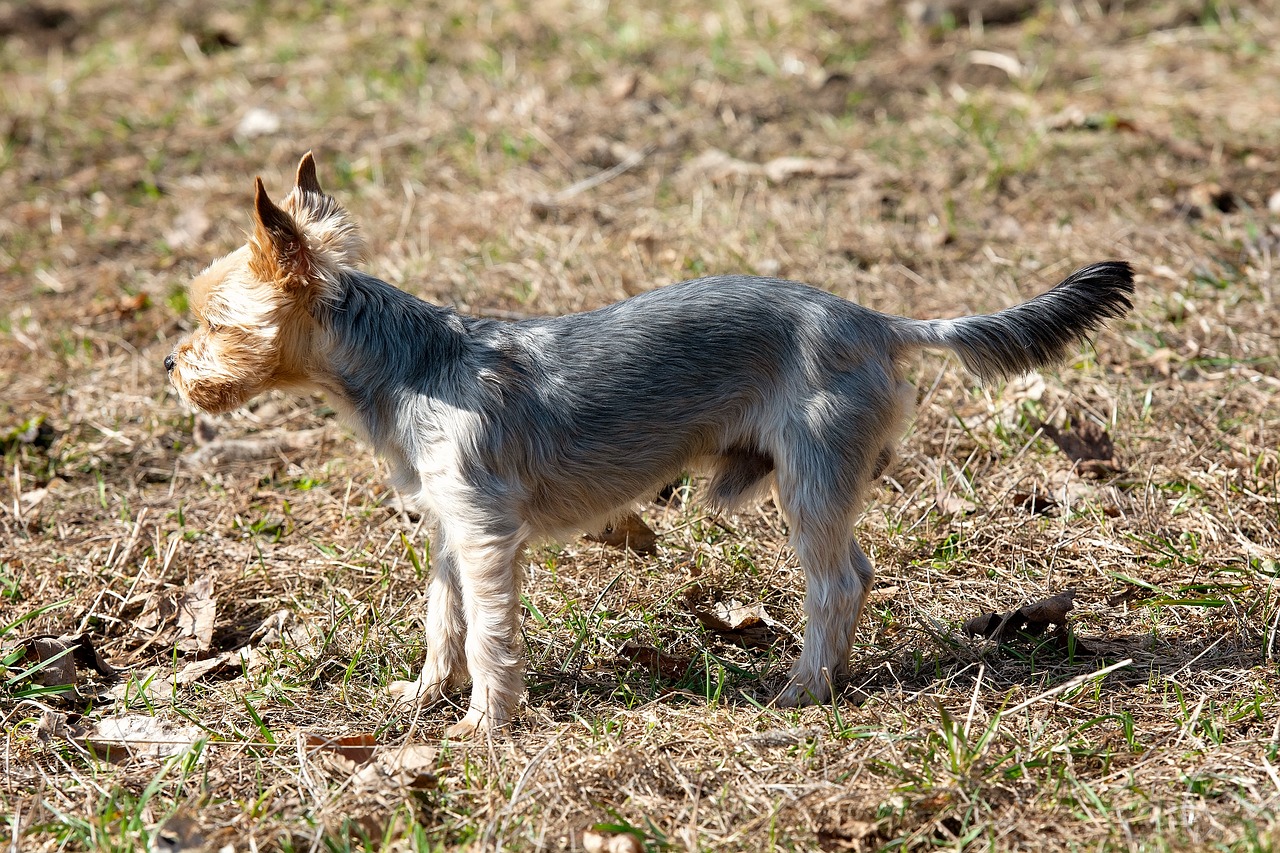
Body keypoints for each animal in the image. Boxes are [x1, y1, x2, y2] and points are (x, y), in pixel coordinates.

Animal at [167, 151, 1131, 732]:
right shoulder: (447, 525)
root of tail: (878, 320)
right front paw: (422, 694)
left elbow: (487, 630)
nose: (173, 363)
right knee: (853, 574)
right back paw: (836, 676)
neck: (407, 366)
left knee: (837, 581)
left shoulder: (485, 531)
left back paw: (802, 687)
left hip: (810, 475)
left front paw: (485, 723)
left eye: (214, 322)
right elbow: (443, 616)